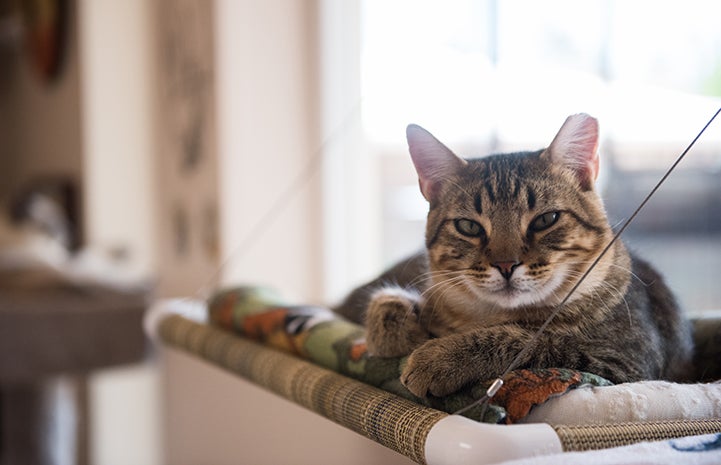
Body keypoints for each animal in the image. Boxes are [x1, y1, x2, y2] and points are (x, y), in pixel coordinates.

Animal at [334, 114, 696, 396]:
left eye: (546, 220)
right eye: (468, 226)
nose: (505, 265)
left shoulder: (624, 362)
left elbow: (531, 342)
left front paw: (437, 357)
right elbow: (386, 300)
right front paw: (397, 334)